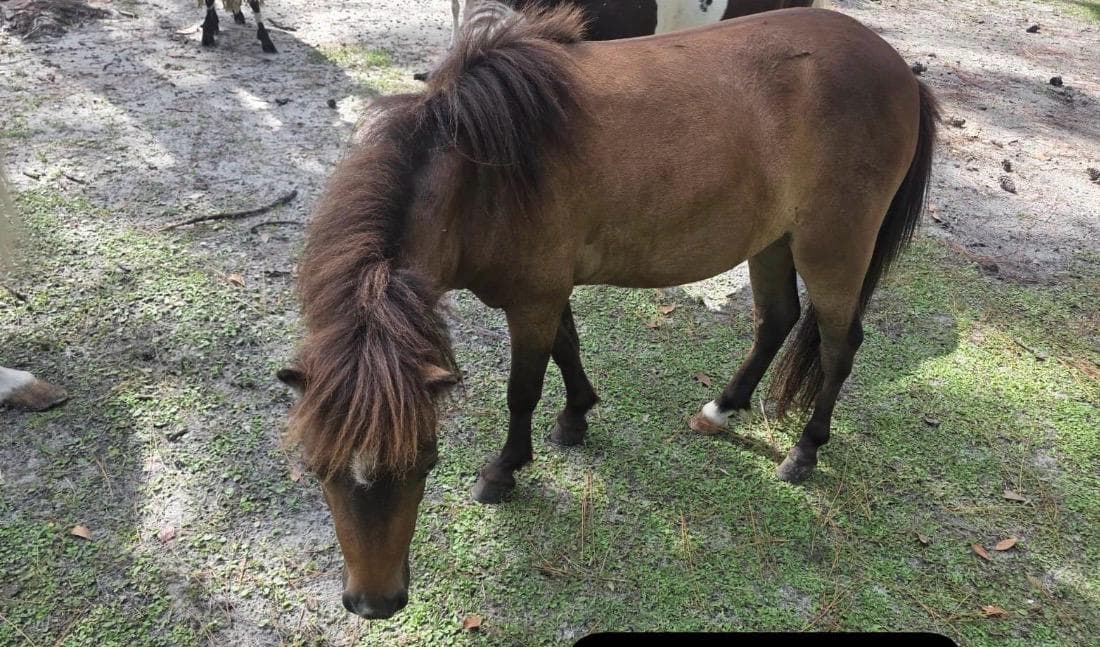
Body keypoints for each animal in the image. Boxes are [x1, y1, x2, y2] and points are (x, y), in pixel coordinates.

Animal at [279, 6, 939, 619]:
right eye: (317, 467)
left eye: (424, 461)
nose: (374, 603)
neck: (482, 178)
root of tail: (900, 71)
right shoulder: (547, 293)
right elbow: (567, 348)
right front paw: (576, 417)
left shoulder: (532, 299)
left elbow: (523, 389)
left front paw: (504, 470)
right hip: (774, 239)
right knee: (775, 320)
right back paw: (723, 408)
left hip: (833, 247)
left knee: (838, 344)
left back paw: (804, 451)